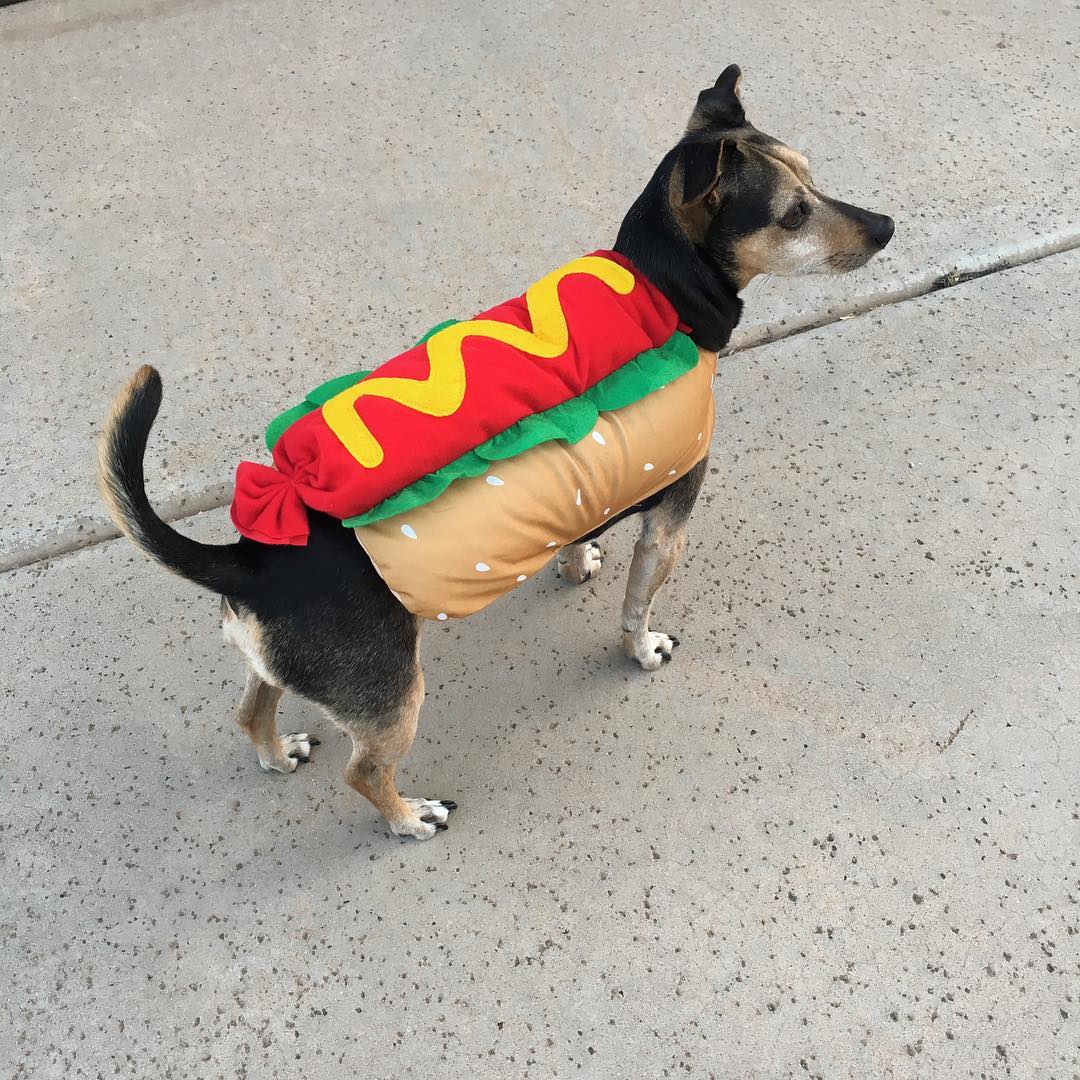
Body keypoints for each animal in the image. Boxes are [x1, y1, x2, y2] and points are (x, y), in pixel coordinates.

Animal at [99, 67, 894, 838]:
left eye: (814, 179)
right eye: (793, 214)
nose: (888, 226)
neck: (663, 292)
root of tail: (249, 557)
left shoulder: (586, 484)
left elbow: (577, 533)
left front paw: (577, 560)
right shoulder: (668, 527)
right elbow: (636, 611)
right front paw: (640, 651)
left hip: (276, 668)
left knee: (250, 710)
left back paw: (276, 752)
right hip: (393, 698)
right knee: (364, 772)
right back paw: (409, 819)